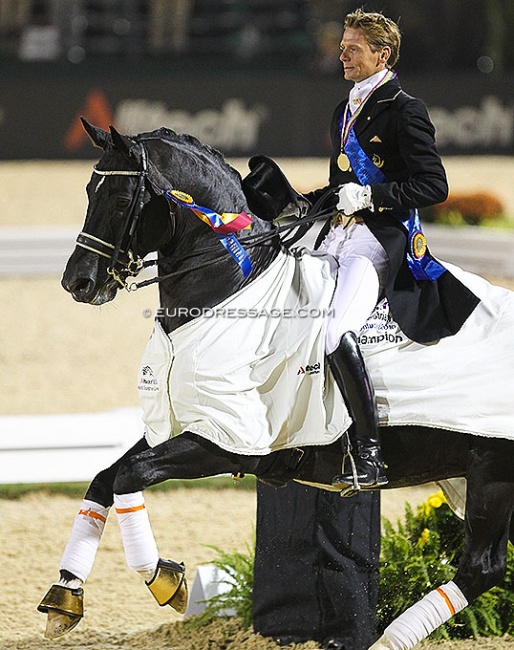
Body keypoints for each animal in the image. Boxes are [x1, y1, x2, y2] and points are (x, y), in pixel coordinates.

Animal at [37, 120, 512, 644]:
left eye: (122, 199)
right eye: (88, 191)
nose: (77, 283)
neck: (228, 294)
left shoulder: (226, 441)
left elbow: (129, 475)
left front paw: (164, 579)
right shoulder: (186, 423)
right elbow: (106, 476)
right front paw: (65, 597)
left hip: (492, 471)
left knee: (481, 567)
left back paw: (388, 638)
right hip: (472, 475)